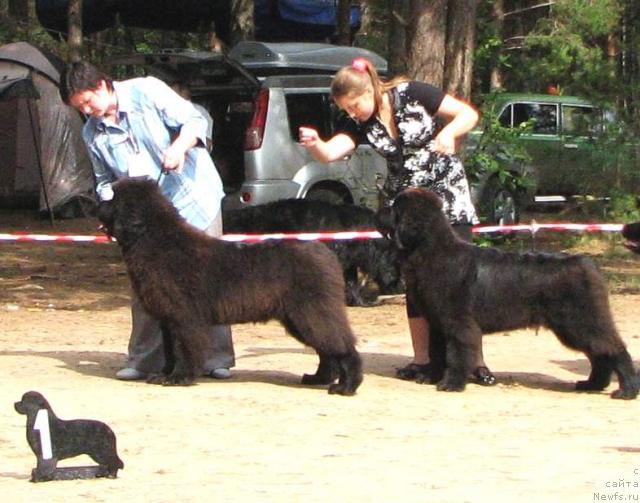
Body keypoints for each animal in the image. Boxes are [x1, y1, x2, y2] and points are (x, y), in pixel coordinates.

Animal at [97, 179, 362, 396]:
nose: (95, 203)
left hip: (312, 312)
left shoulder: (184, 318)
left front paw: (179, 378)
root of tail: (325, 253)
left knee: (341, 346)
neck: (155, 240)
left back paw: (346, 386)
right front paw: (164, 375)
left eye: (111, 198)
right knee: (327, 349)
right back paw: (318, 378)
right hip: (300, 317)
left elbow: (183, 349)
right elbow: (170, 350)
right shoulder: (168, 319)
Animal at [380, 189, 640, 402]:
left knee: (614, 349)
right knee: (599, 354)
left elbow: (456, 354)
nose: (377, 211)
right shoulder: (437, 322)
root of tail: (588, 263)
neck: (430, 250)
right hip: (574, 327)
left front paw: (451, 384)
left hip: (581, 322)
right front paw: (431, 376)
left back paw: (626, 390)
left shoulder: (458, 323)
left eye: (394, 208)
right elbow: (436, 351)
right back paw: (591, 384)